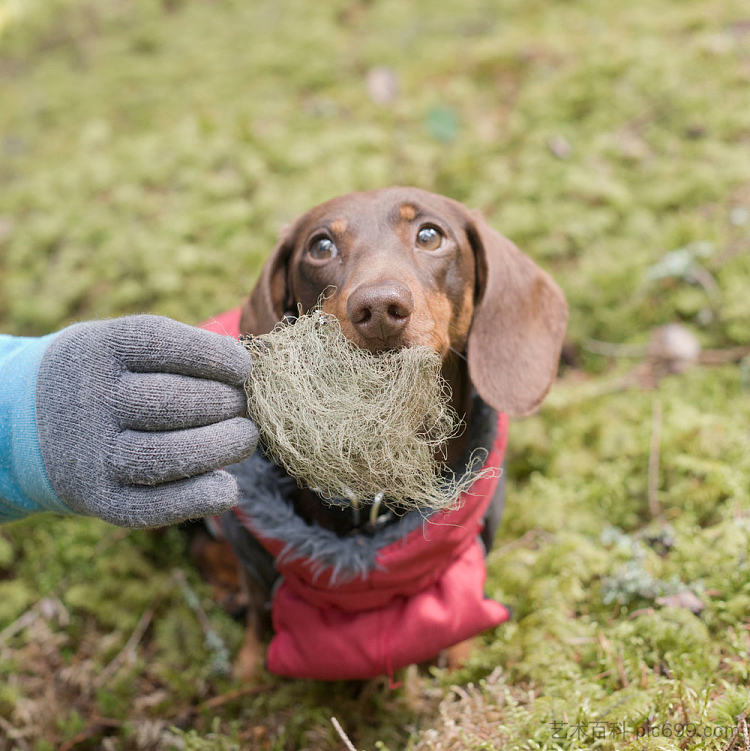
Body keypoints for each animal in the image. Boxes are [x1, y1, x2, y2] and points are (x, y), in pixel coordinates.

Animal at [197, 187, 568, 680]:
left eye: (429, 235)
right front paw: (250, 669)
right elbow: (260, 605)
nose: (377, 309)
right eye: (320, 246)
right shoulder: (256, 555)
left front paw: (459, 659)